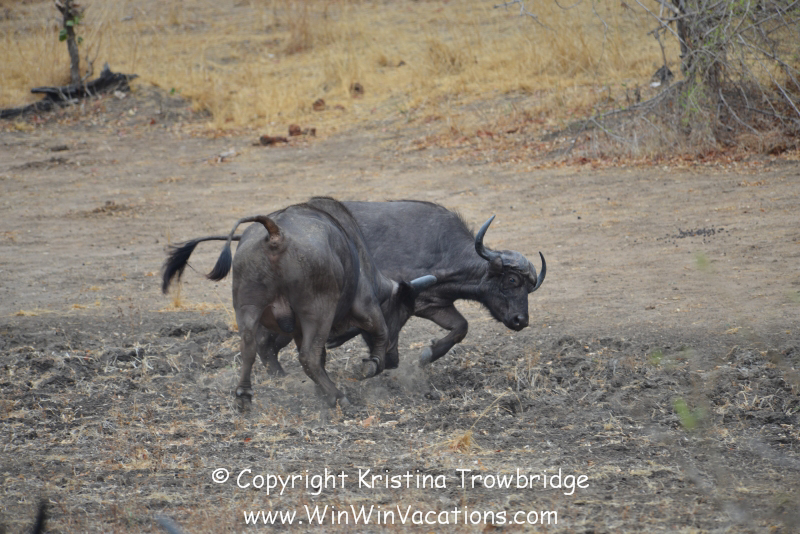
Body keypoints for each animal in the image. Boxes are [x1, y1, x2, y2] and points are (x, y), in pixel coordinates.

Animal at [161, 198, 436, 409]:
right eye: (402, 314)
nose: (394, 360)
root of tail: (275, 233)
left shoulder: (295, 328)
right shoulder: (366, 306)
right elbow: (379, 332)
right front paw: (372, 365)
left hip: (247, 306)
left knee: (250, 347)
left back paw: (245, 395)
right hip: (319, 310)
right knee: (307, 356)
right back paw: (338, 397)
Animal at [258, 200, 545, 371]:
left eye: (530, 289)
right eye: (512, 280)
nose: (521, 320)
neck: (441, 251)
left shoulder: (432, 304)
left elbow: (461, 327)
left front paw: (428, 354)